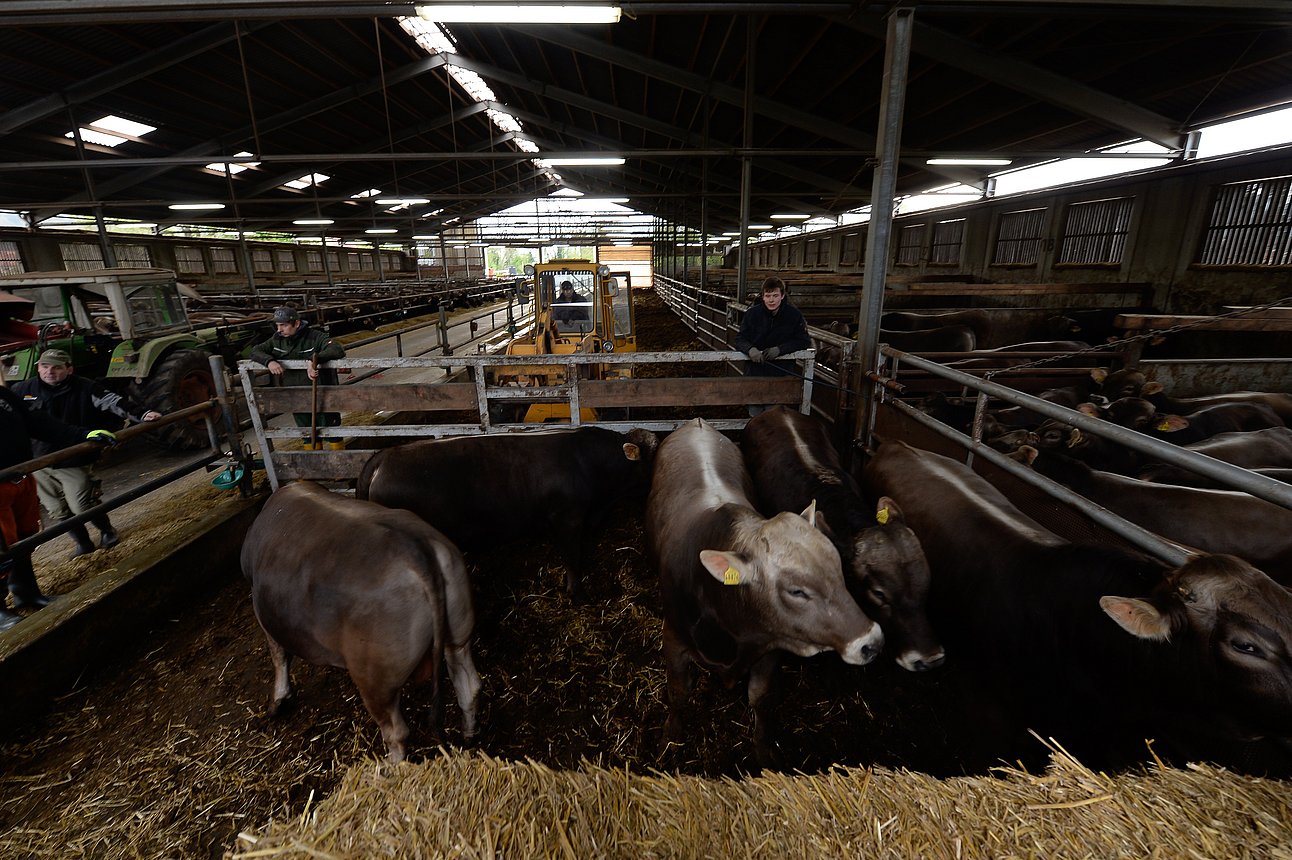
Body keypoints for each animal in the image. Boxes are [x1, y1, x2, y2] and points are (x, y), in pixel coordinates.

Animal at [241, 477, 480, 759]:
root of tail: (418, 550)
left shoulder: (262, 610)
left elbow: (278, 655)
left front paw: (277, 702)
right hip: (459, 632)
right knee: (468, 685)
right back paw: (469, 736)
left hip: (375, 676)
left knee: (396, 732)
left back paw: (389, 767)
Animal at [651, 415, 883, 764]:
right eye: (797, 591)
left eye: (839, 572)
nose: (872, 641)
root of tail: (698, 421)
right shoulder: (674, 638)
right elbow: (678, 693)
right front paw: (671, 736)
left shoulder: (770, 647)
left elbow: (760, 699)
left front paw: (763, 751)